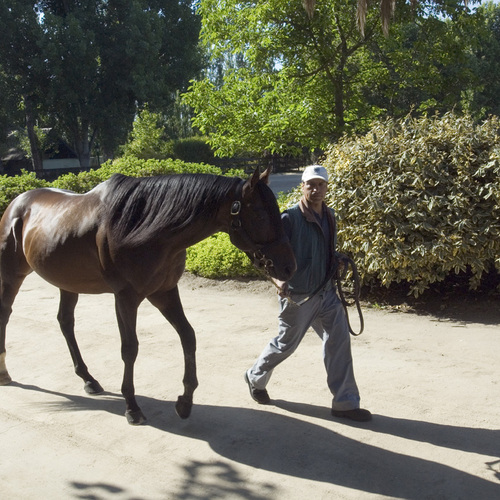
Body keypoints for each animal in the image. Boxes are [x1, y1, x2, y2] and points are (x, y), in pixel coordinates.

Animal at [0, 167, 294, 422]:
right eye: (260, 215)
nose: (289, 267)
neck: (143, 228)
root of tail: (17, 204)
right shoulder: (125, 298)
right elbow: (130, 348)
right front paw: (132, 406)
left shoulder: (164, 292)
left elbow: (188, 336)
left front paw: (185, 401)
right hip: (13, 275)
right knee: (7, 314)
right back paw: (5, 372)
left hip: (68, 283)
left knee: (65, 322)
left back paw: (88, 379)